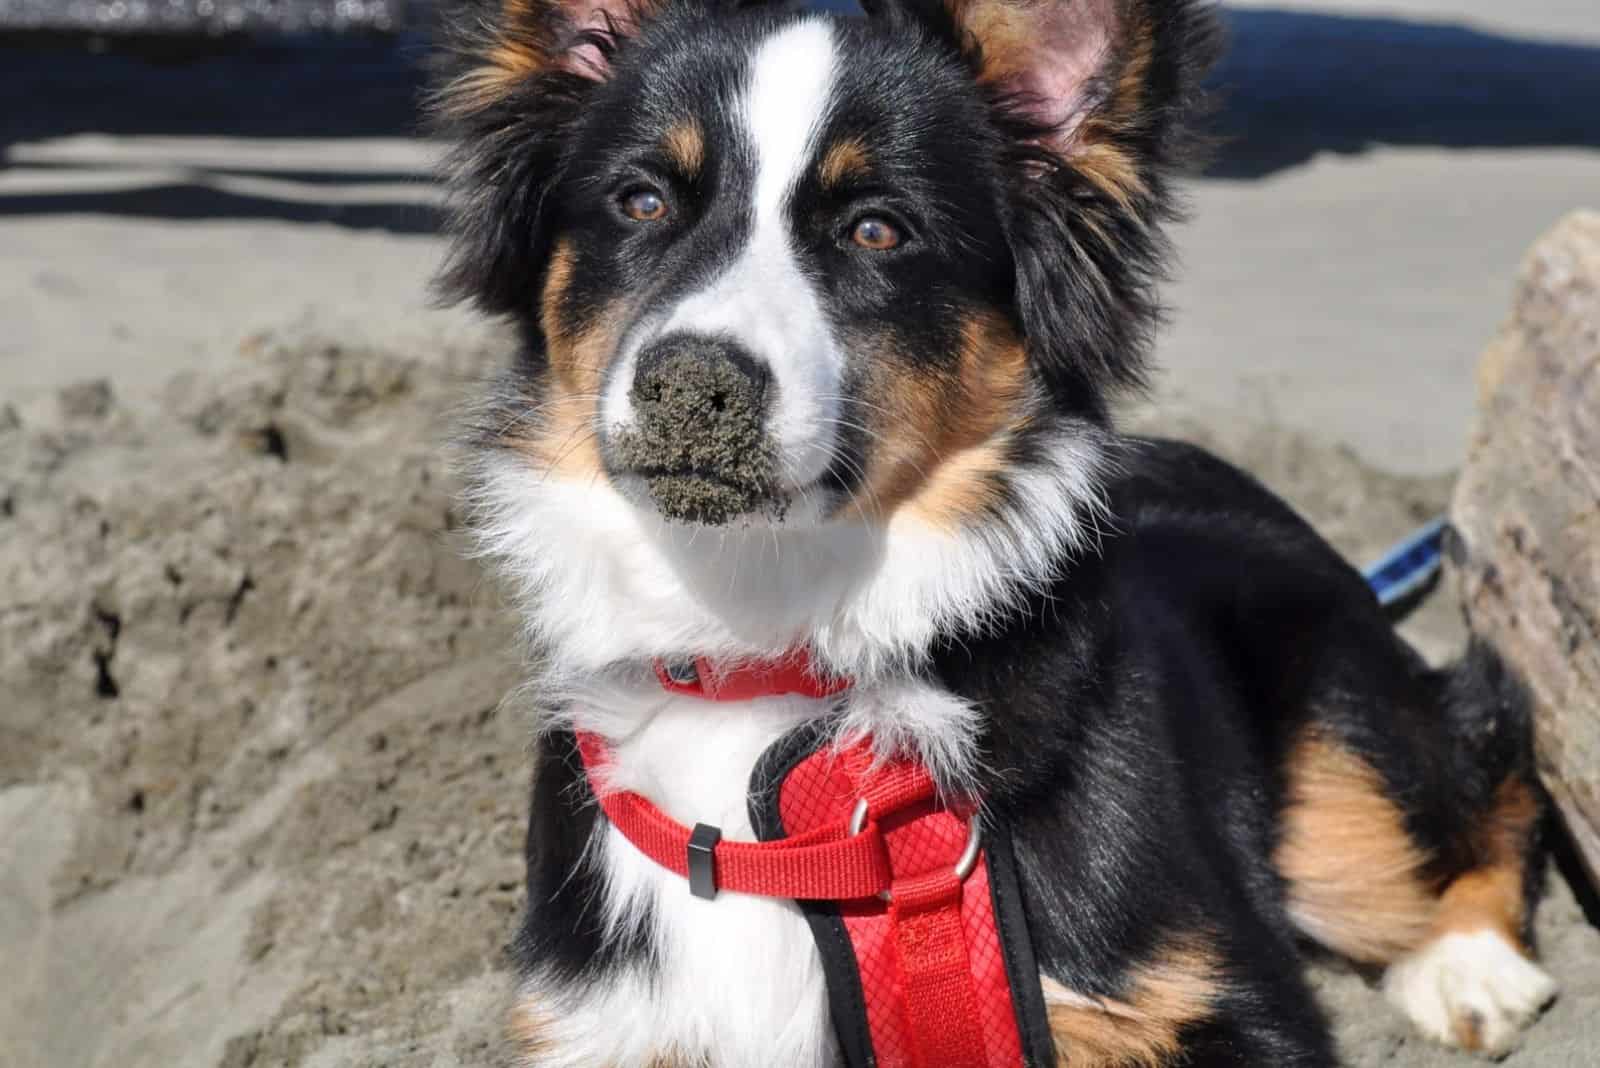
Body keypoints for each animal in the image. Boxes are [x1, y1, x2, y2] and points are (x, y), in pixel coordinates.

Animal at [432, 0, 1555, 1061]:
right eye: (641, 202)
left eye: (877, 230)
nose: (689, 384)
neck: (766, 644)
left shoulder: (1213, 997)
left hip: (1339, 745)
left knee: (1479, 766)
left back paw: (1470, 969)